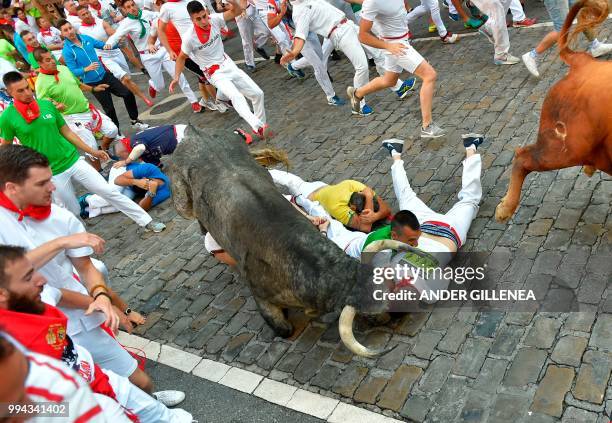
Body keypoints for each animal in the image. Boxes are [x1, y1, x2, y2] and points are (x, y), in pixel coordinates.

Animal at [170, 126, 394, 358]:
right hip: (181, 202)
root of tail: (194, 133)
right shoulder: (261, 296)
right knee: (192, 213)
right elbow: (284, 329)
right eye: (368, 313)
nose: (391, 316)